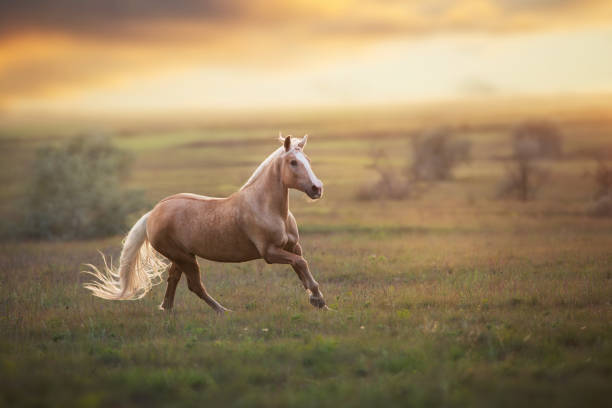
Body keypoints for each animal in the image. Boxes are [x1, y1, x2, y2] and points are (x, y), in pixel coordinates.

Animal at [85, 135, 330, 310]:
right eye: (293, 162)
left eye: (308, 161)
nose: (317, 188)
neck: (268, 208)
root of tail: (154, 212)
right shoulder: (269, 252)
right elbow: (301, 264)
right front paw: (318, 301)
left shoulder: (293, 246)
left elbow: (300, 266)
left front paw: (319, 301)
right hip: (184, 257)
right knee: (195, 286)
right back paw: (223, 311)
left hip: (182, 256)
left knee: (173, 280)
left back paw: (167, 310)